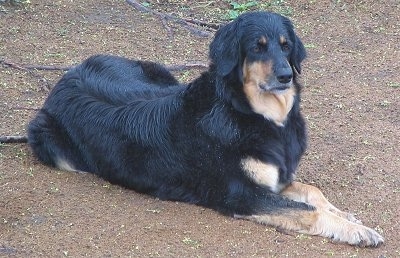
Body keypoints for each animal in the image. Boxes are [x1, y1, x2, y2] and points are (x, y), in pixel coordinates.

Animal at [28, 11, 384, 247]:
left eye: (285, 46)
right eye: (257, 47)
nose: (285, 75)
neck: (250, 113)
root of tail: (67, 76)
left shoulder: (276, 178)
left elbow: (312, 193)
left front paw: (348, 217)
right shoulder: (240, 194)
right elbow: (308, 210)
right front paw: (356, 231)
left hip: (157, 72)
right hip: (46, 137)